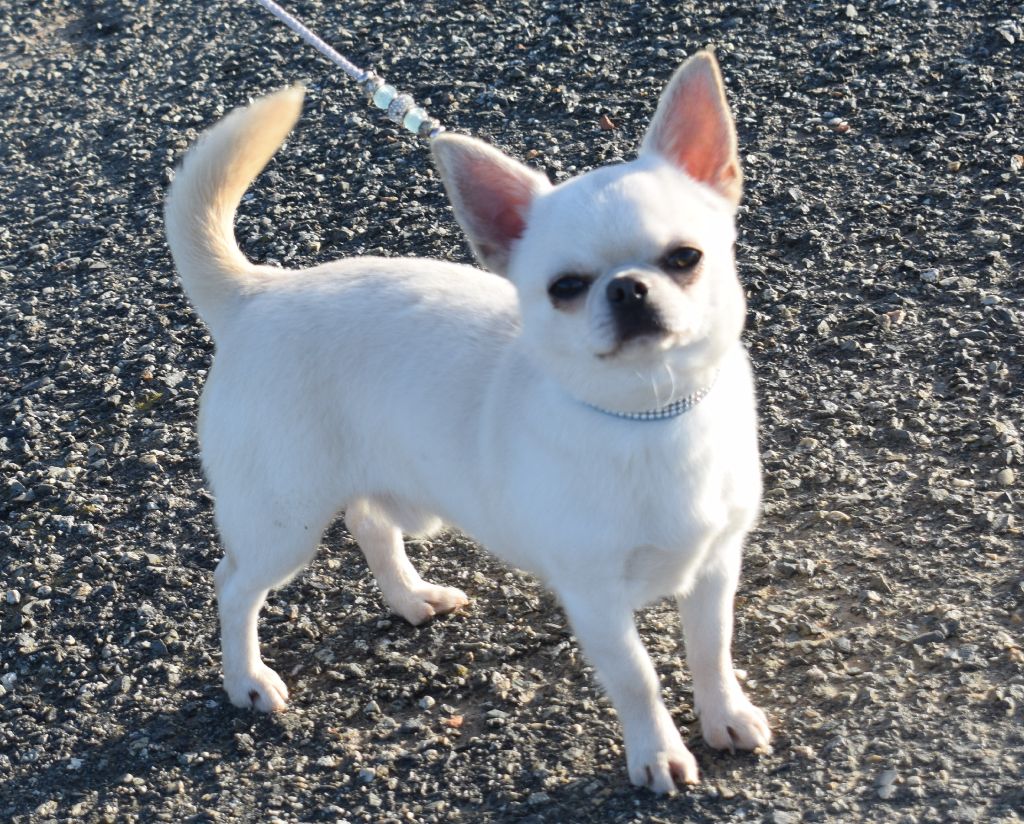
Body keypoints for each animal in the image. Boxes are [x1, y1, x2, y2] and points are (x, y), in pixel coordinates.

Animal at [164, 50, 770, 793]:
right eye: (565, 288)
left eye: (685, 258)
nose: (628, 288)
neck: (651, 414)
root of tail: (257, 292)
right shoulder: (595, 598)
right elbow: (639, 678)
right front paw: (656, 752)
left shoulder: (715, 567)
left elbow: (712, 650)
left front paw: (725, 716)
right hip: (283, 523)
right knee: (234, 587)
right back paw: (246, 678)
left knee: (370, 523)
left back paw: (409, 597)